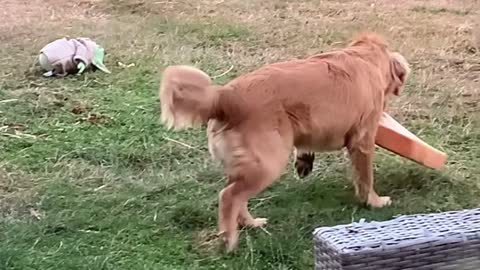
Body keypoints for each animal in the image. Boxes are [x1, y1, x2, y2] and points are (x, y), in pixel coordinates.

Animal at [158, 32, 408, 252]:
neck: (365, 57)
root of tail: (223, 97)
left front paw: (305, 161)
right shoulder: (362, 140)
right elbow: (365, 177)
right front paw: (374, 201)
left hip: (246, 166)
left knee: (236, 196)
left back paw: (250, 224)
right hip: (268, 164)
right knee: (229, 196)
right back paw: (229, 240)